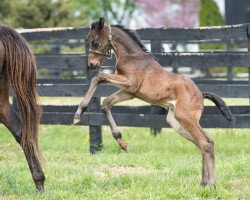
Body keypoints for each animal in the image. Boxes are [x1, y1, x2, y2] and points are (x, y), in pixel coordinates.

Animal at [73, 18, 234, 187]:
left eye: (95, 42)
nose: (91, 65)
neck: (132, 57)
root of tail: (201, 95)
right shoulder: (130, 92)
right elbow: (105, 103)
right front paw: (122, 143)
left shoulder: (130, 83)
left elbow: (99, 77)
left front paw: (78, 113)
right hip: (176, 122)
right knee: (203, 143)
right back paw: (203, 182)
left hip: (185, 118)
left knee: (206, 143)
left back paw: (211, 184)